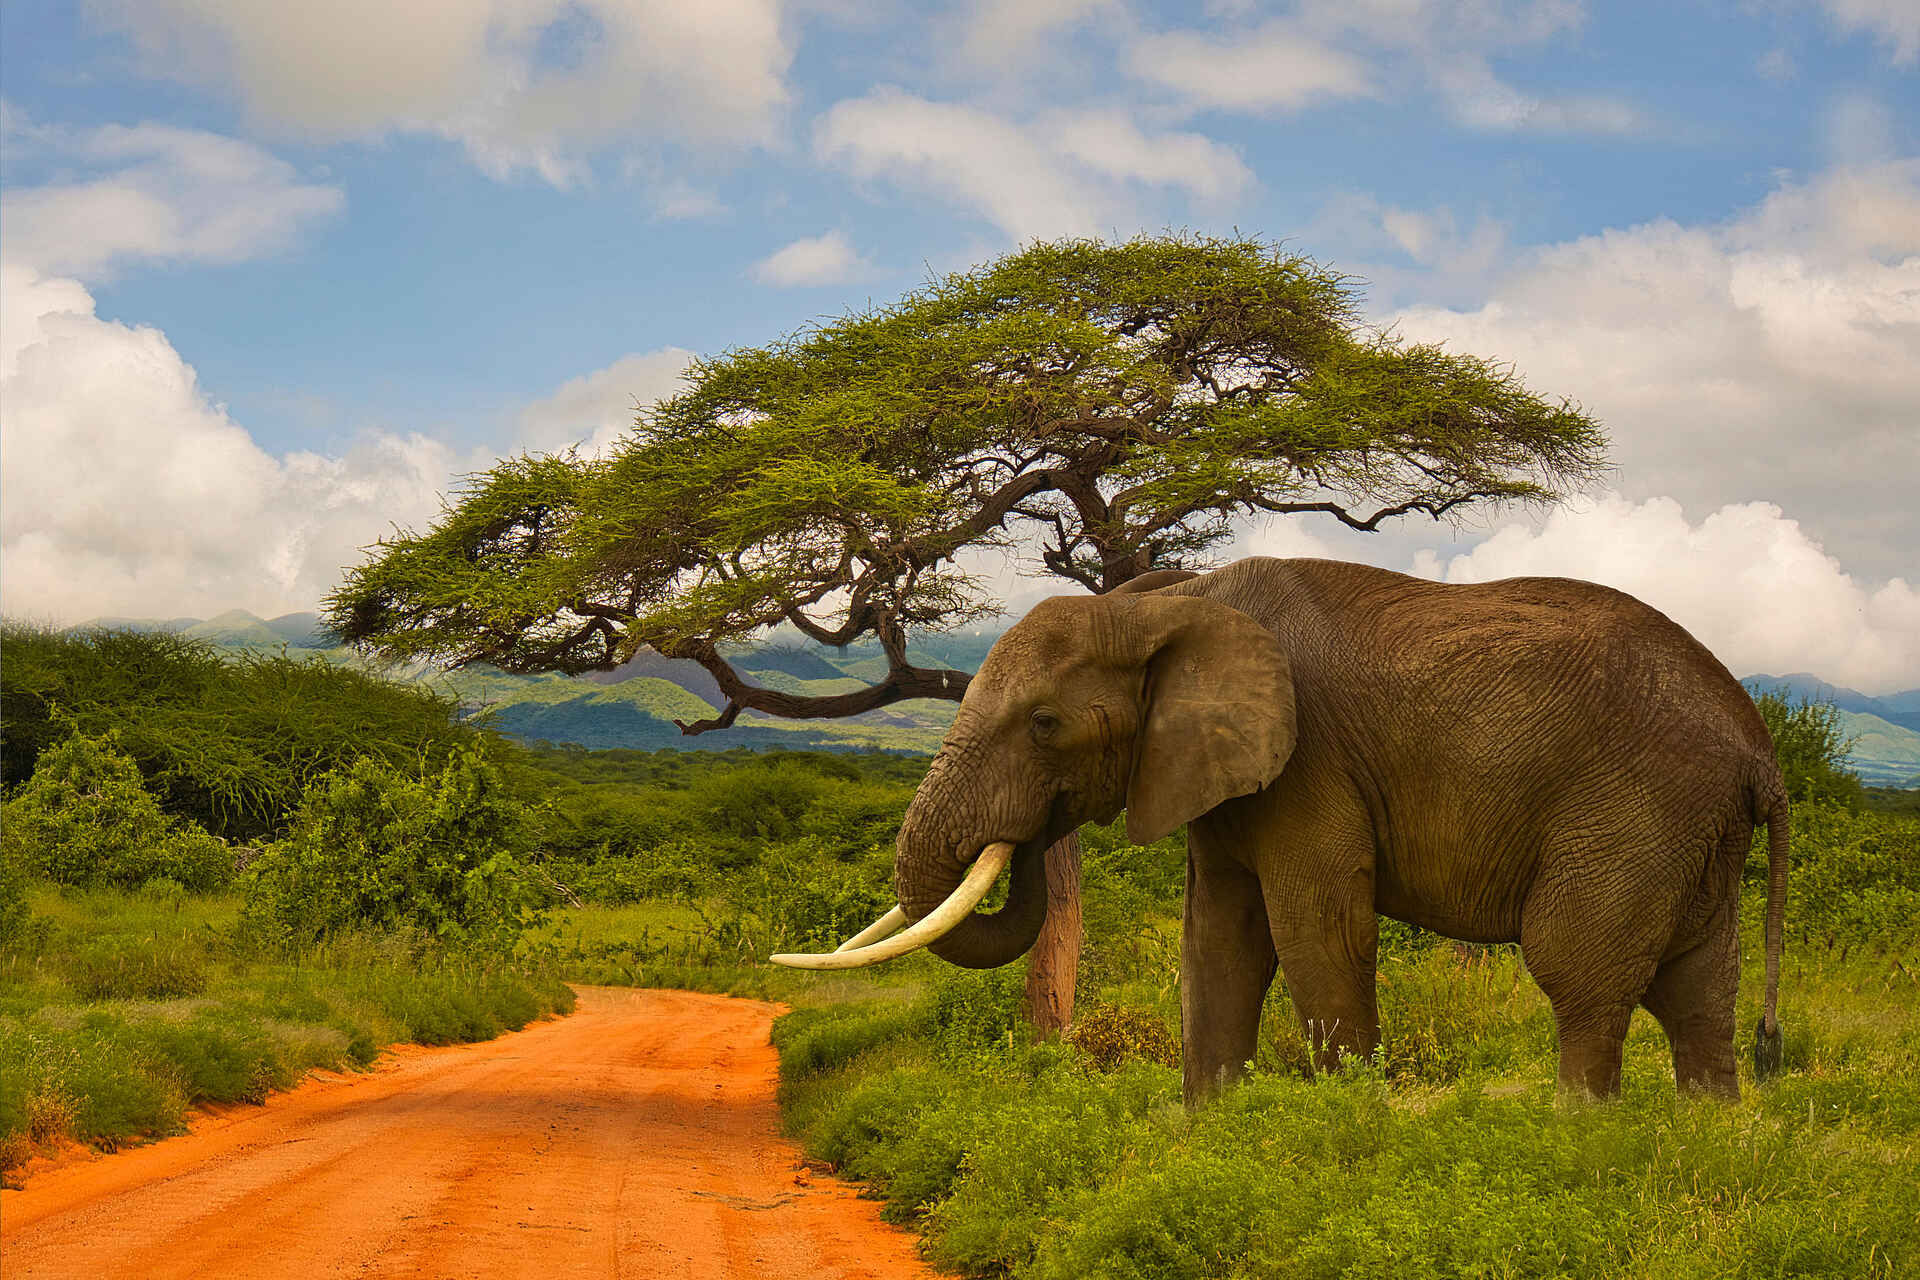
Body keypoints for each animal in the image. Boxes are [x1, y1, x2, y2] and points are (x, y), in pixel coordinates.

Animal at [773, 557, 1791, 1105]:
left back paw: (1578, 1143)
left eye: (1045, 725)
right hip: (1690, 832)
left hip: (1634, 809)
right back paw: (1699, 1139)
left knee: (1581, 975)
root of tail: (1759, 749)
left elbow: (1317, 936)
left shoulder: (1310, 765)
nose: (1023, 836)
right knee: (1699, 994)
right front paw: (1213, 1137)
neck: (1172, 601)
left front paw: (1344, 1132)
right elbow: (1218, 945)